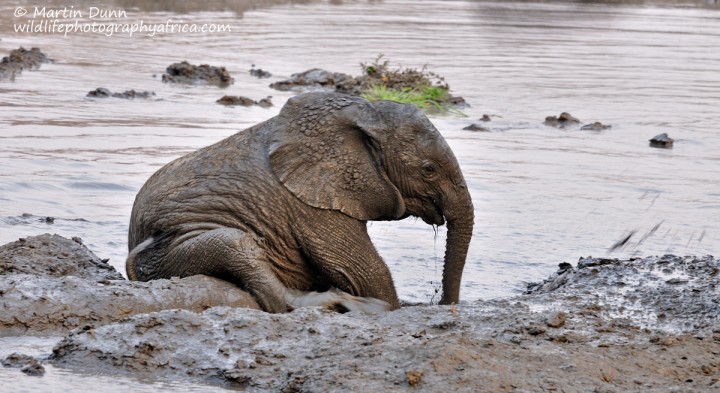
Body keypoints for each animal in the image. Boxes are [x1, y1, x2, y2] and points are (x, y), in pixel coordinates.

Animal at [126, 91, 476, 312]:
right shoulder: (309, 205)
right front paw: (388, 306)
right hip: (162, 256)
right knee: (236, 243)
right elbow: (363, 272)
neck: (363, 113)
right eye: (428, 170)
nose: (444, 304)